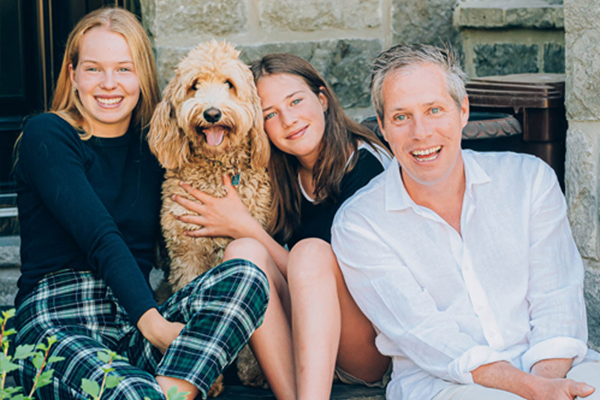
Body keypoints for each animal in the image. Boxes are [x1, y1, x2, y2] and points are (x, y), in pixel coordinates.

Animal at [148, 40, 272, 396]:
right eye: (194, 86)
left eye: (229, 84)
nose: (212, 113)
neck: (217, 171)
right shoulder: (187, 256)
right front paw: (214, 382)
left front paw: (253, 371)